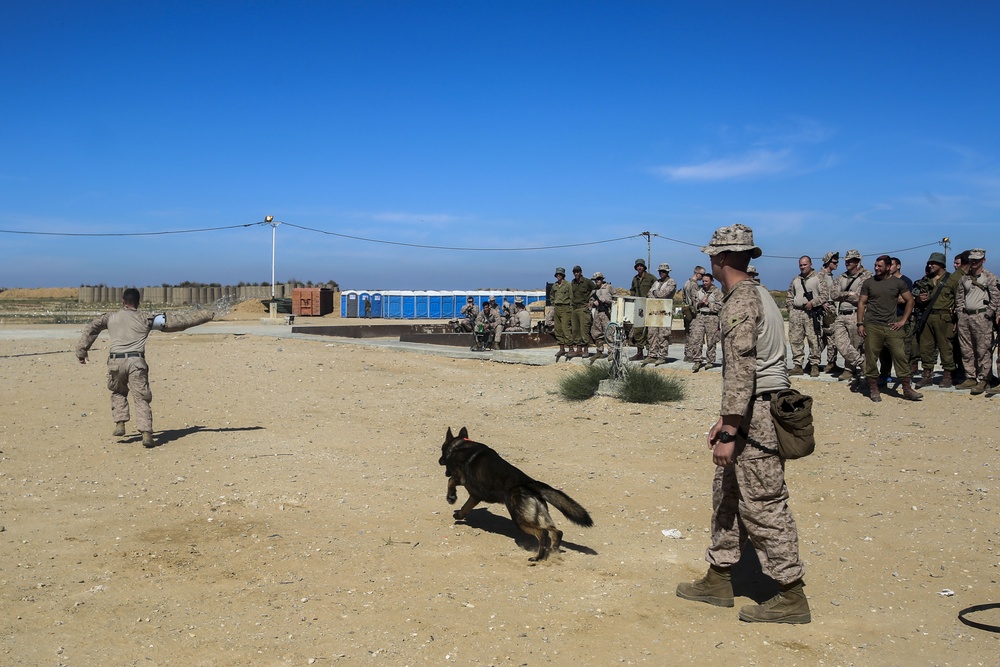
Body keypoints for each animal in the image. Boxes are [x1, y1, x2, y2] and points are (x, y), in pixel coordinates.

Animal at [440, 428, 592, 564]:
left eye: (442, 449)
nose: (439, 460)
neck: (460, 445)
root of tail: (529, 483)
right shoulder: (475, 495)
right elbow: (466, 506)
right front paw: (459, 514)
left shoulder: (461, 479)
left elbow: (450, 481)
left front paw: (451, 498)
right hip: (536, 516)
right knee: (557, 532)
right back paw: (553, 551)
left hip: (520, 519)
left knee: (543, 533)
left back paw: (538, 557)